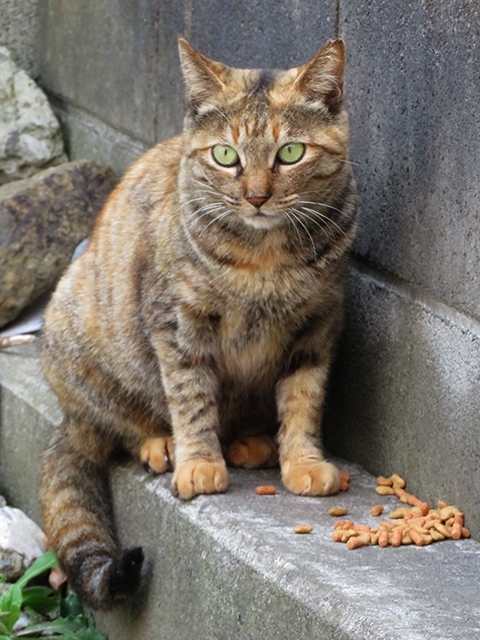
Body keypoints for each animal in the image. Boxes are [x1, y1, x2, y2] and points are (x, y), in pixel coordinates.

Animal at [40, 36, 356, 608]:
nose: (256, 196)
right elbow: (190, 396)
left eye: (291, 152)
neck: (264, 261)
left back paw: (253, 442)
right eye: (226, 156)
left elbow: (304, 397)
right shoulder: (176, 322)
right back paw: (160, 444)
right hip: (76, 336)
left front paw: (301, 462)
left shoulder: (319, 323)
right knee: (120, 424)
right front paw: (198, 462)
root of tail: (68, 419)